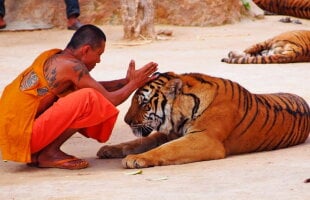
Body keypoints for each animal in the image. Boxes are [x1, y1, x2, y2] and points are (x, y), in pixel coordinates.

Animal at [97, 72, 310, 169]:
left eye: (143, 103)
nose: (126, 120)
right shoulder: (168, 134)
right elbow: (136, 142)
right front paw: (109, 149)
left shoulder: (204, 138)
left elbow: (167, 149)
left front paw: (136, 159)